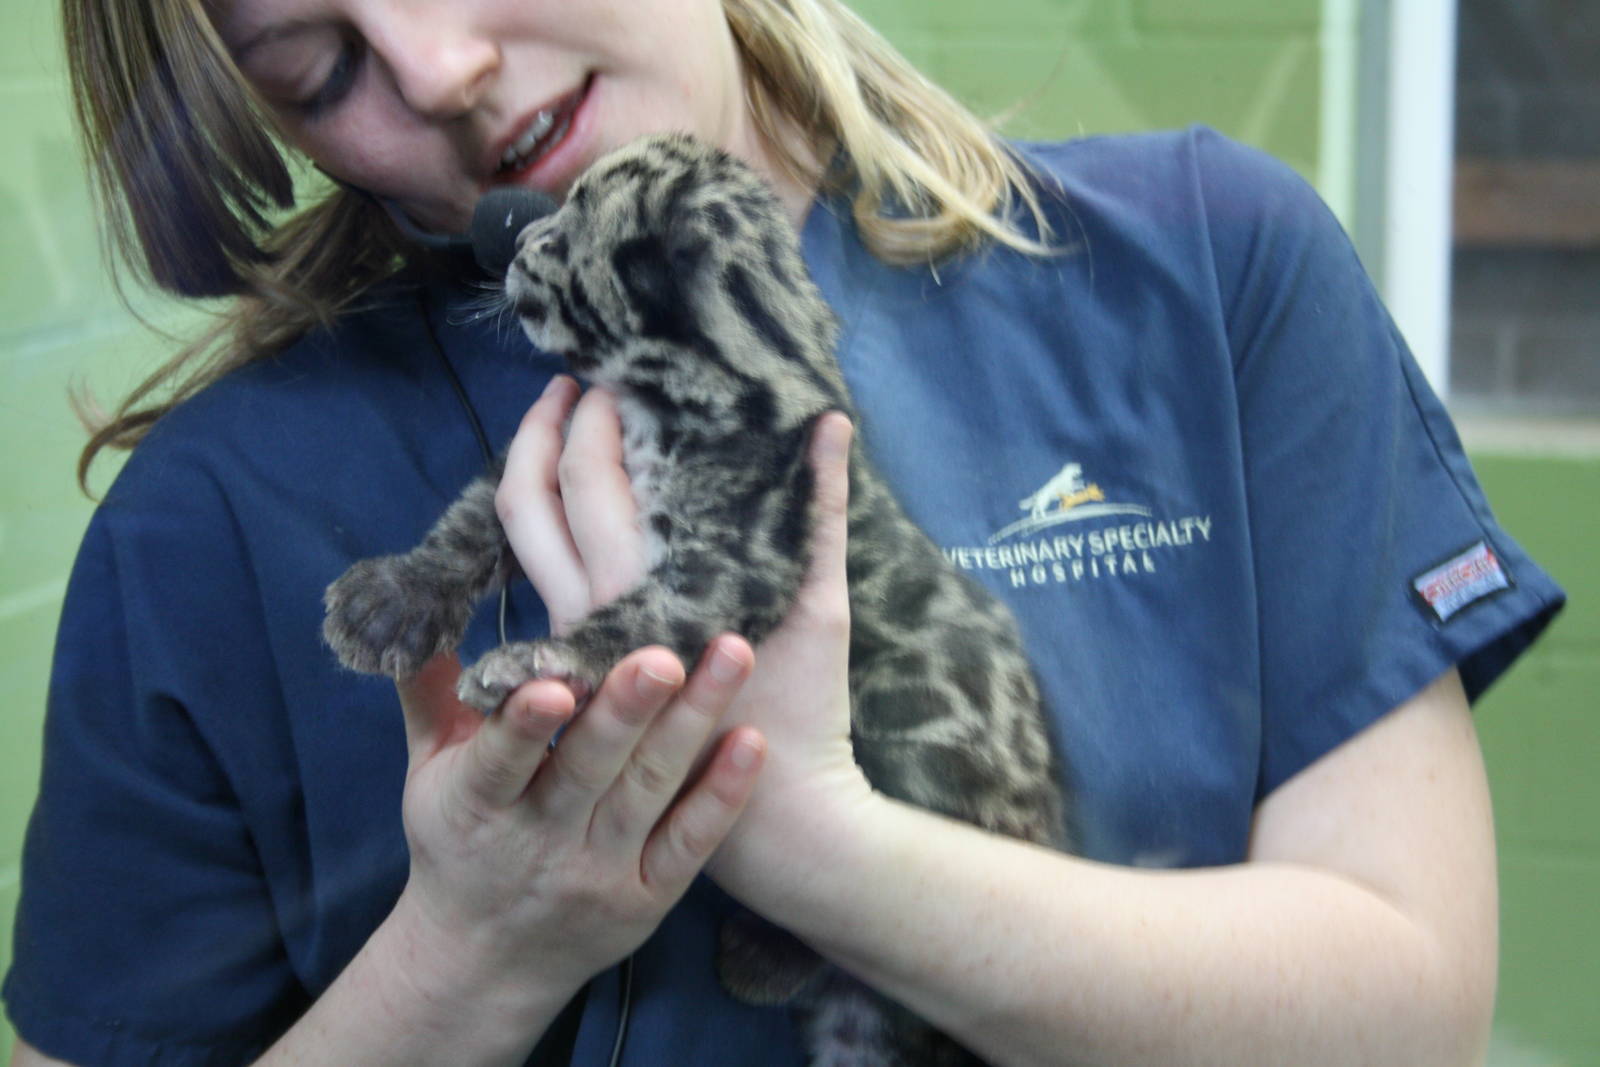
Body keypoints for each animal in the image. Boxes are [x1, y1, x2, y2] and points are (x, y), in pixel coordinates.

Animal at [323, 132, 1068, 1066]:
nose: (517, 242)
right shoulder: (545, 463)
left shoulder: (737, 559)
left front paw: (537, 659)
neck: (672, 392)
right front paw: (392, 598)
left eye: (567, 230)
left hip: (919, 720)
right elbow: (470, 519)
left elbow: (636, 618)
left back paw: (765, 951)